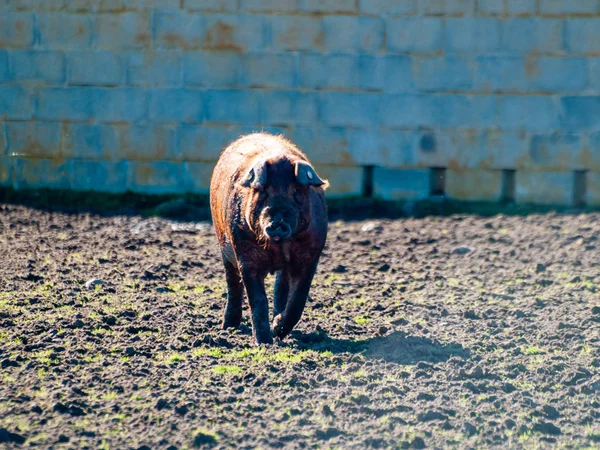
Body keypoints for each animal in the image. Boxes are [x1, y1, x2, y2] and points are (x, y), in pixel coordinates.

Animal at [210, 133, 328, 344]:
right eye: (262, 191)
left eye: (297, 192)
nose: (277, 221)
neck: (279, 248)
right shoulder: (245, 255)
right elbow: (257, 299)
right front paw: (264, 342)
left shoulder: (310, 256)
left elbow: (298, 299)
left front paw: (277, 330)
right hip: (224, 246)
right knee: (233, 284)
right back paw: (228, 327)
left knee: (281, 287)